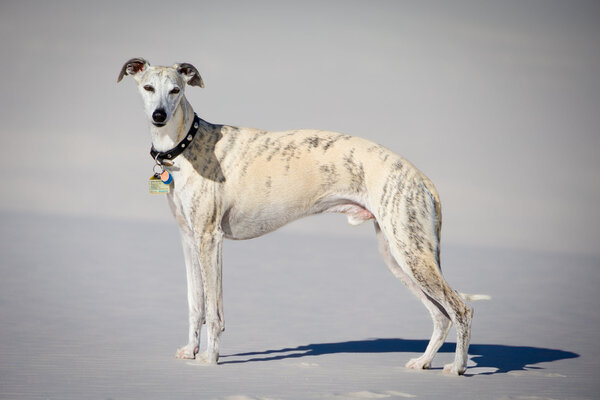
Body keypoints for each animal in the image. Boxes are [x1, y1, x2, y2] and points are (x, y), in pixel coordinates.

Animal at [118, 57, 482, 376]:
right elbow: (196, 304)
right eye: (148, 87)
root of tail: (420, 177)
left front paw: (209, 361)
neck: (187, 144)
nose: (159, 116)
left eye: (176, 90)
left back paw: (458, 368)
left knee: (461, 308)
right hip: (398, 255)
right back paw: (423, 362)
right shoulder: (189, 238)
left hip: (411, 250)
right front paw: (190, 352)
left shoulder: (210, 239)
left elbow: (214, 310)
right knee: (440, 315)